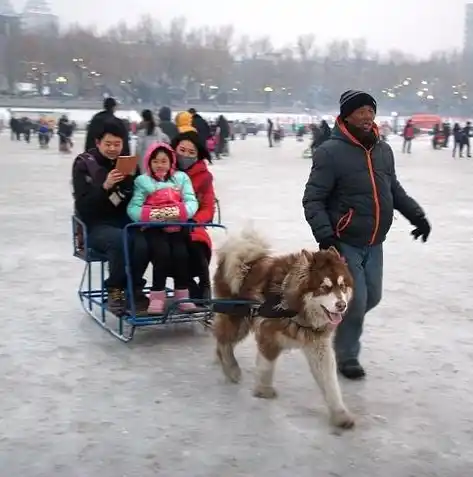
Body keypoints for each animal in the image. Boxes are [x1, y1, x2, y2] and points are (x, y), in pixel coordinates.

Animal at [212, 227, 352, 428]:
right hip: (237, 320)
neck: (294, 308)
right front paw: (264, 390)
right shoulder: (268, 336)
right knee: (224, 342)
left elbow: (330, 382)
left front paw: (340, 414)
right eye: (324, 287)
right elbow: (266, 366)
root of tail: (243, 258)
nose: (342, 305)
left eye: (342, 286)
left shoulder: (318, 346)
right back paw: (231, 368)